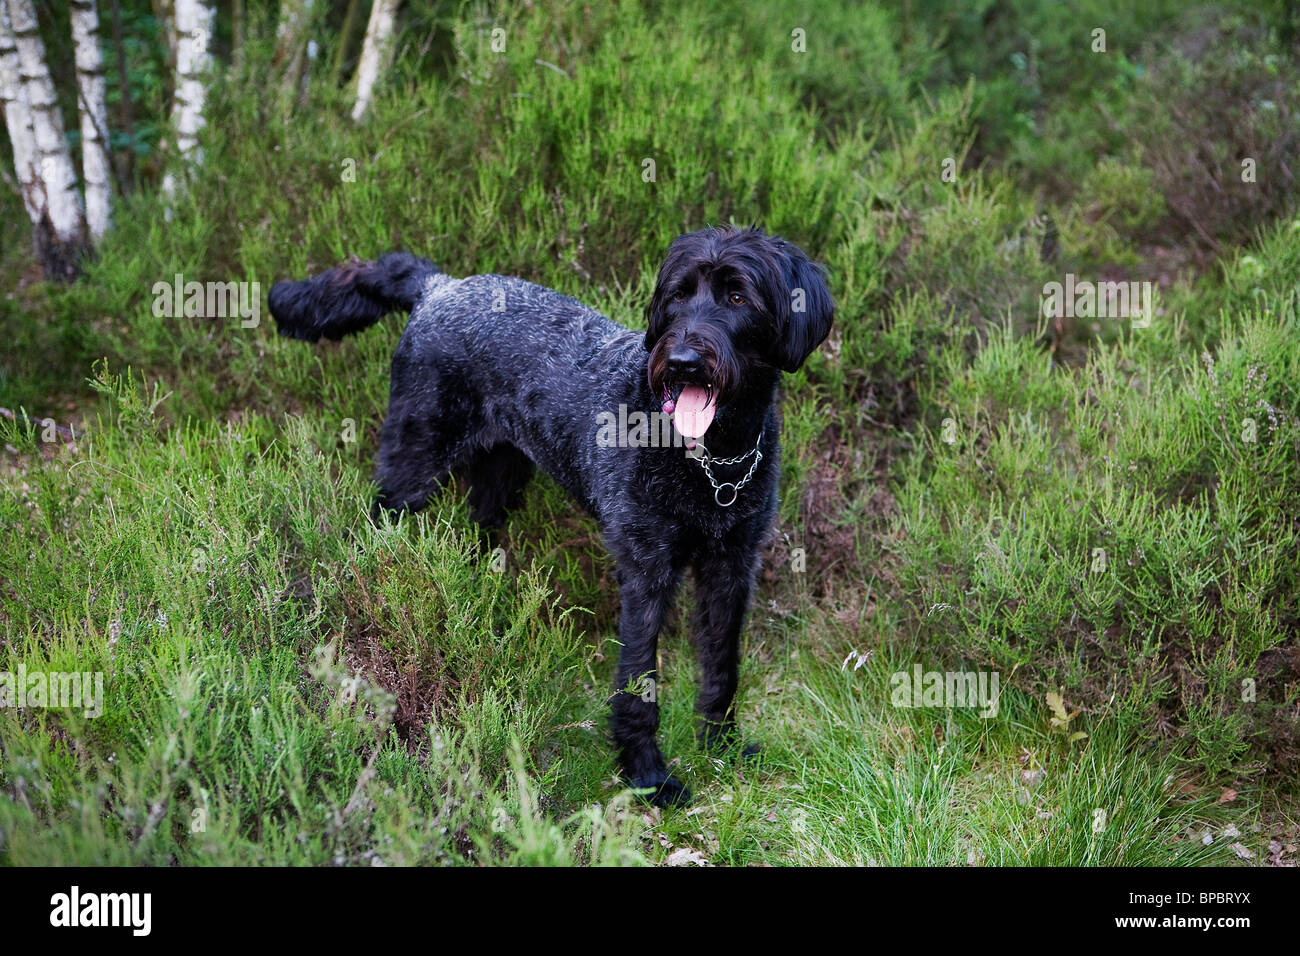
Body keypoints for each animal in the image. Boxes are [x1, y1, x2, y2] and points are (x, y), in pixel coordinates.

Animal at [269, 230, 832, 806]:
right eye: (678, 295)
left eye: (738, 297)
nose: (682, 361)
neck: (712, 459)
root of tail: (438, 287)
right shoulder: (646, 570)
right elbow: (639, 680)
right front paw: (647, 774)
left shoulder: (731, 568)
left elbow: (722, 664)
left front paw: (721, 743)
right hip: (412, 466)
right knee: (370, 533)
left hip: (499, 477)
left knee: (476, 540)